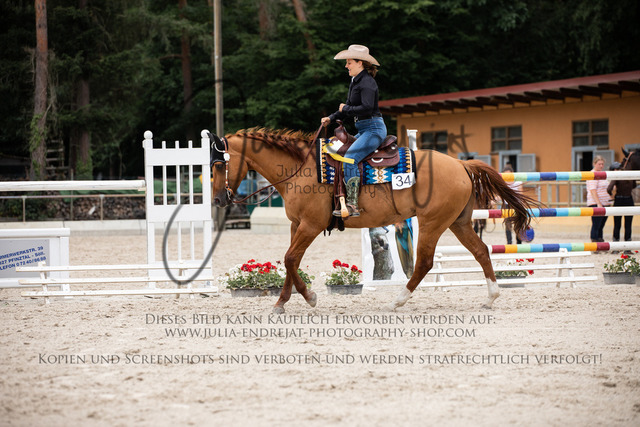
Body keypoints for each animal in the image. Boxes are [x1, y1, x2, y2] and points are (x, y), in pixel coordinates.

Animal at [210, 128, 538, 313]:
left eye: (217, 165)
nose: (217, 201)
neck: (301, 168)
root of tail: (460, 164)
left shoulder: (310, 226)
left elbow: (291, 259)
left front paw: (310, 298)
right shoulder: (296, 225)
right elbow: (291, 261)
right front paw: (281, 302)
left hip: (433, 223)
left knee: (423, 263)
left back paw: (397, 301)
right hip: (458, 222)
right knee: (481, 251)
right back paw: (491, 296)